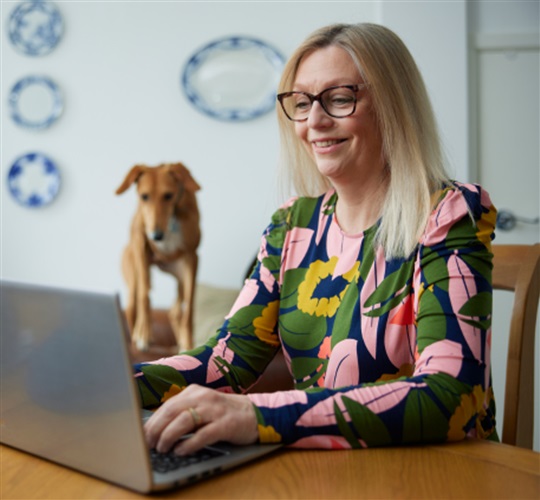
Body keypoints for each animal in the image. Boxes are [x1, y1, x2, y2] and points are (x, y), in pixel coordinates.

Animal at [115, 163, 200, 352]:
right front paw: (144, 335)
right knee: (134, 304)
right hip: (134, 272)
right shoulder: (141, 246)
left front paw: (188, 343)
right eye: (144, 196)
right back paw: (137, 336)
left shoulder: (192, 258)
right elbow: (144, 296)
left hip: (181, 276)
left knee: (175, 312)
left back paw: (180, 342)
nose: (157, 236)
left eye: (168, 195)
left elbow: (190, 306)